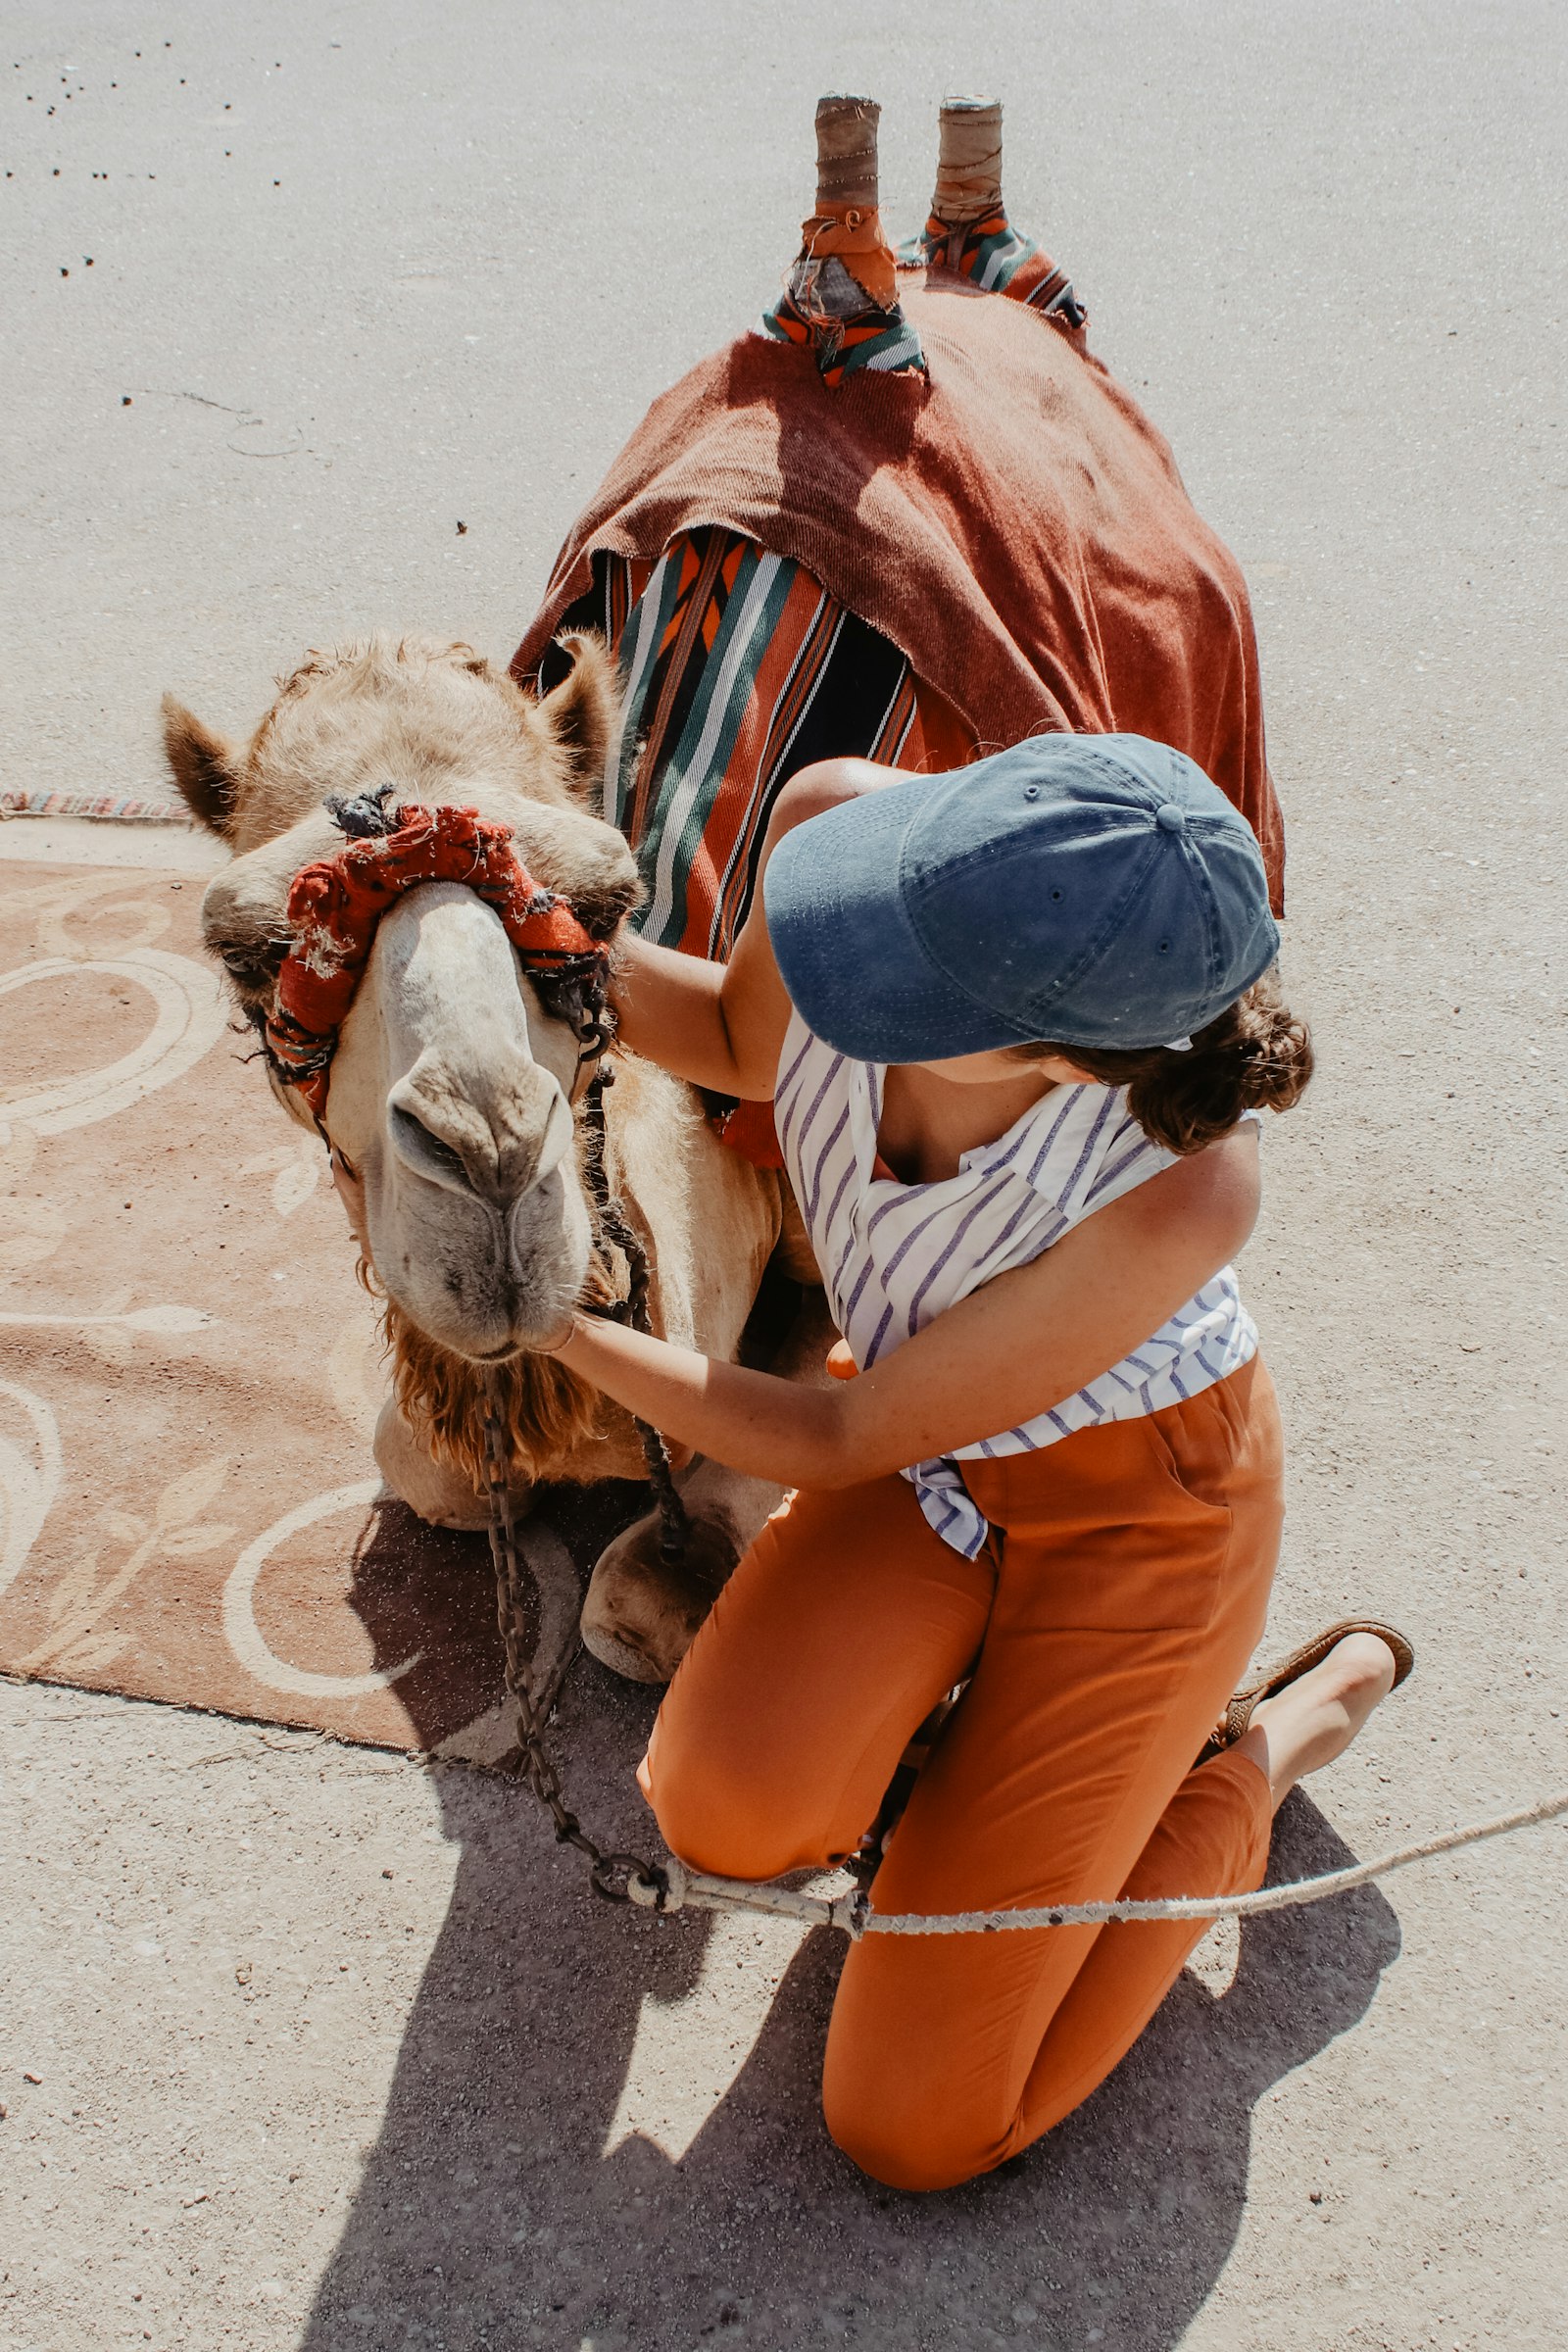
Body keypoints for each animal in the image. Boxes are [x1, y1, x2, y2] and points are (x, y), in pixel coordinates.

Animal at [162, 86, 1288, 1674]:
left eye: (604, 908)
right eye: (257, 955)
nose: (490, 1157)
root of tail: (955, 271)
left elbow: (656, 1582)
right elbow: (422, 1463)